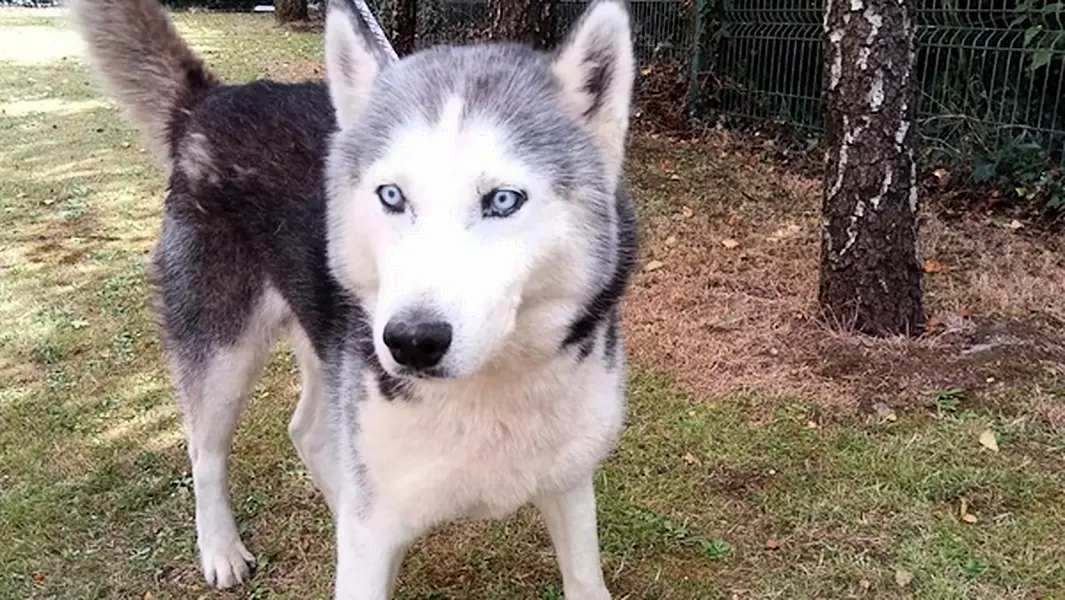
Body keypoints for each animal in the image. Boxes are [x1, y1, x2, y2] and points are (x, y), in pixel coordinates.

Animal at [70, 0, 634, 592]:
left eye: (503, 200)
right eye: (391, 195)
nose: (411, 341)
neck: (491, 389)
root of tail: (209, 102)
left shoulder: (569, 483)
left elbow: (586, 579)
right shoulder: (373, 516)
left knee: (308, 433)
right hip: (222, 352)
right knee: (205, 450)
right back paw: (220, 548)